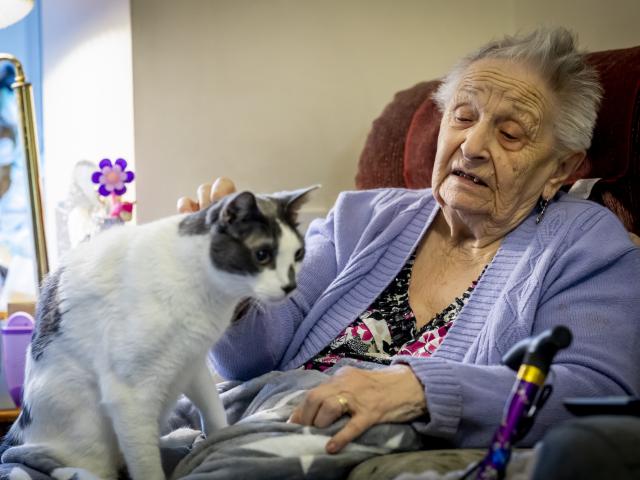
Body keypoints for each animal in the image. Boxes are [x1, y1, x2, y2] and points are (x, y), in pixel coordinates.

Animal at [1, 187, 316, 480]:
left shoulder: (192, 364)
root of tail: (19, 436)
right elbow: (146, 465)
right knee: (80, 466)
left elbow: (214, 412)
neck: (209, 296)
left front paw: (216, 438)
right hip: (85, 429)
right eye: (262, 255)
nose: (290, 286)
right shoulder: (129, 395)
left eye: (299, 254)